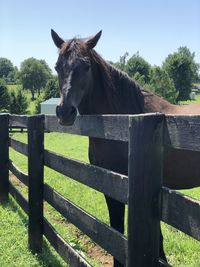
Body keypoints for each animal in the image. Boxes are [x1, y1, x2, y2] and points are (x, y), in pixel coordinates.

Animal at [50, 29, 199, 267]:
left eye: (87, 66)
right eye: (57, 66)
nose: (65, 112)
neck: (122, 121)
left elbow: (122, 232)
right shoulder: (109, 184)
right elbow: (118, 230)